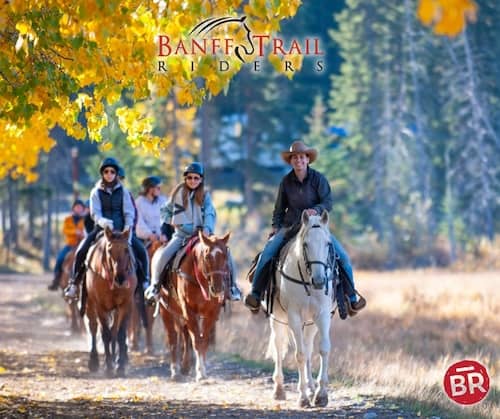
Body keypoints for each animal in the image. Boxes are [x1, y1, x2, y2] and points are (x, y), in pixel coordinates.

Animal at [85, 228, 137, 378]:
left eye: (126, 249)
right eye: (109, 250)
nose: (120, 278)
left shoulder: (125, 305)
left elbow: (120, 334)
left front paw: (120, 366)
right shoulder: (100, 306)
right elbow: (105, 334)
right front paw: (108, 367)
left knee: (114, 330)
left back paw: (116, 359)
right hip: (90, 304)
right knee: (93, 327)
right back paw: (94, 361)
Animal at [158, 231, 230, 382]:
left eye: (225, 256)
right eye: (207, 257)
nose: (217, 288)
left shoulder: (211, 313)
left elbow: (203, 341)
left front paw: (202, 370)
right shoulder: (189, 310)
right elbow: (196, 340)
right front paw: (200, 372)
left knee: (185, 335)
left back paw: (186, 366)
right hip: (165, 309)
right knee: (173, 337)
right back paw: (175, 371)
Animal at [268, 210, 334, 406]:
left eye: (328, 243)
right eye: (305, 244)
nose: (319, 281)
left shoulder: (322, 315)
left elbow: (323, 349)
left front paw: (320, 394)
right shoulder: (294, 317)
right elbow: (300, 354)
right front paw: (303, 397)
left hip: (310, 323)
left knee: (308, 345)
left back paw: (311, 388)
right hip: (277, 318)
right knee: (279, 345)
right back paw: (279, 390)